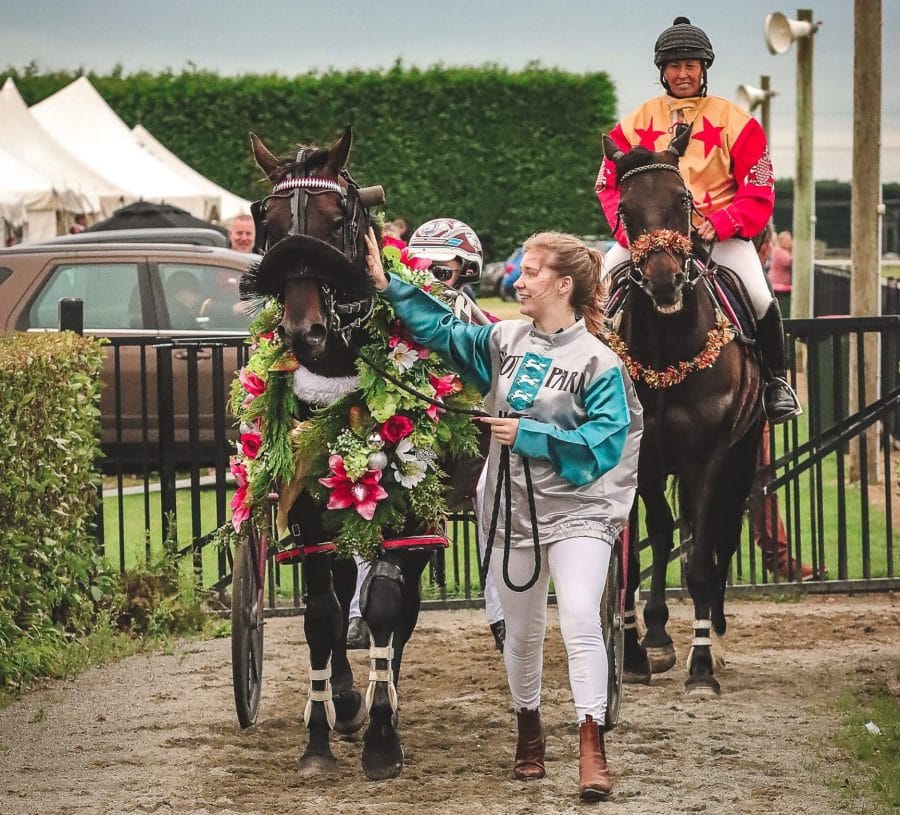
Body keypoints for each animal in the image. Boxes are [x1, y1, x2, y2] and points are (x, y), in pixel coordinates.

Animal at [236, 127, 482, 776]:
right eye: (269, 222)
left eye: (337, 219)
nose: (304, 332)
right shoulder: (304, 500)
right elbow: (322, 614)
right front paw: (323, 732)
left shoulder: (410, 506)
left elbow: (388, 605)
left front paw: (382, 735)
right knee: (347, 585)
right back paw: (349, 698)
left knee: (401, 605)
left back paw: (384, 692)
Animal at [600, 127, 764, 696]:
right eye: (625, 209)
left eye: (684, 200)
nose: (665, 281)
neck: (667, 356)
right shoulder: (636, 460)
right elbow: (634, 554)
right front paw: (633, 654)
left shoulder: (709, 457)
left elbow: (698, 561)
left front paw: (701, 667)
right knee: (669, 527)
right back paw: (655, 635)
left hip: (740, 458)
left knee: (715, 535)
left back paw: (712, 629)